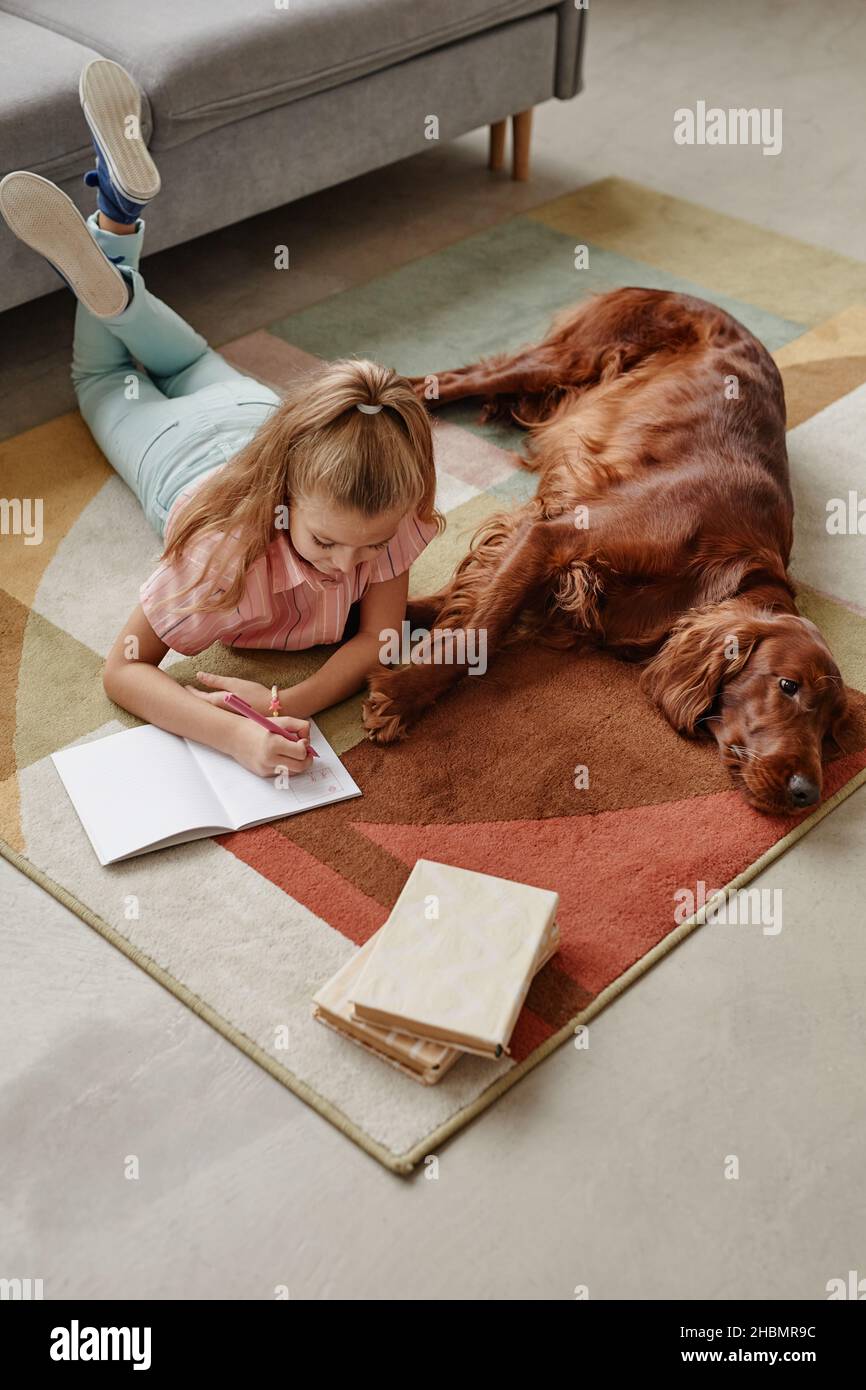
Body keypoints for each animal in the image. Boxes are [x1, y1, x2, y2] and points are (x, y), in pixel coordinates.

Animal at [361, 290, 850, 811]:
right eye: (787, 685)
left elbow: (465, 598)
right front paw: (401, 695)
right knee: (453, 379)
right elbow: (481, 632)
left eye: (831, 727)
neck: (725, 569)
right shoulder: (555, 536)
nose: (807, 793)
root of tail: (686, 294)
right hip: (566, 359)